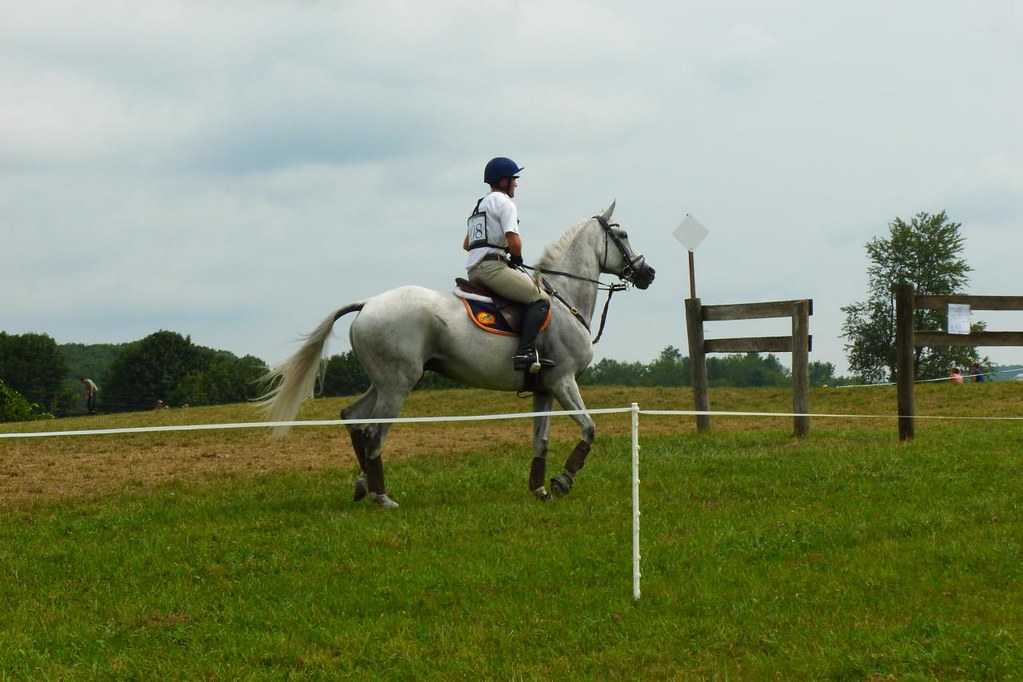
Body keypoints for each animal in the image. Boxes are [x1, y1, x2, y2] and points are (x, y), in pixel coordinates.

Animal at [259, 201, 655, 508]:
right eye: (621, 235)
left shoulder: (544, 388)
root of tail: (368, 303)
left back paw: (363, 485)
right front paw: (562, 481)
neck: (563, 298)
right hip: (397, 385)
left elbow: (540, 441)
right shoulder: (563, 381)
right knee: (373, 432)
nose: (648, 272)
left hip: (385, 381)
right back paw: (381, 497)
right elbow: (589, 429)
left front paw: (540, 489)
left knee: (352, 417)